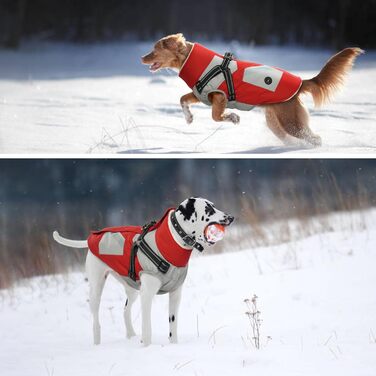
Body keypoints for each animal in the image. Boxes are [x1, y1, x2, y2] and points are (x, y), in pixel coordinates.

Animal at [53, 197, 235, 346]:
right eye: (209, 209)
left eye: (214, 206)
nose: (231, 217)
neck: (172, 242)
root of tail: (91, 238)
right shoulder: (147, 295)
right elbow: (147, 329)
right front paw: (146, 347)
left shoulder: (175, 294)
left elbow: (173, 326)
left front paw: (174, 345)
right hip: (97, 289)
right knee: (96, 321)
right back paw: (98, 343)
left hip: (132, 289)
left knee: (125, 312)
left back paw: (131, 336)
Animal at [142, 33, 364, 147]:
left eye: (154, 50)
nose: (142, 58)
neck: (190, 59)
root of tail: (301, 82)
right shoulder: (202, 94)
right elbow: (182, 99)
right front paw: (188, 118)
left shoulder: (219, 96)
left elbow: (216, 116)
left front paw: (233, 118)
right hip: (276, 123)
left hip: (290, 121)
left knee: (315, 139)